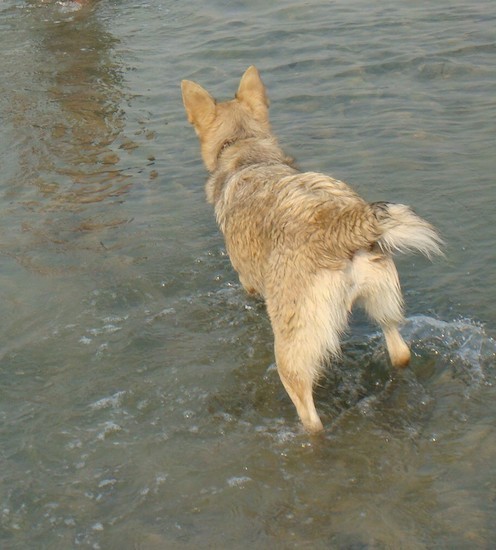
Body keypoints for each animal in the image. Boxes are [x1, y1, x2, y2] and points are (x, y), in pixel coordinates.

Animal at [181, 67, 442, 434]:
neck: (249, 153)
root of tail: (338, 226)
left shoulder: (247, 279)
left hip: (292, 351)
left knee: (310, 415)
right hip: (383, 302)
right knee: (400, 351)